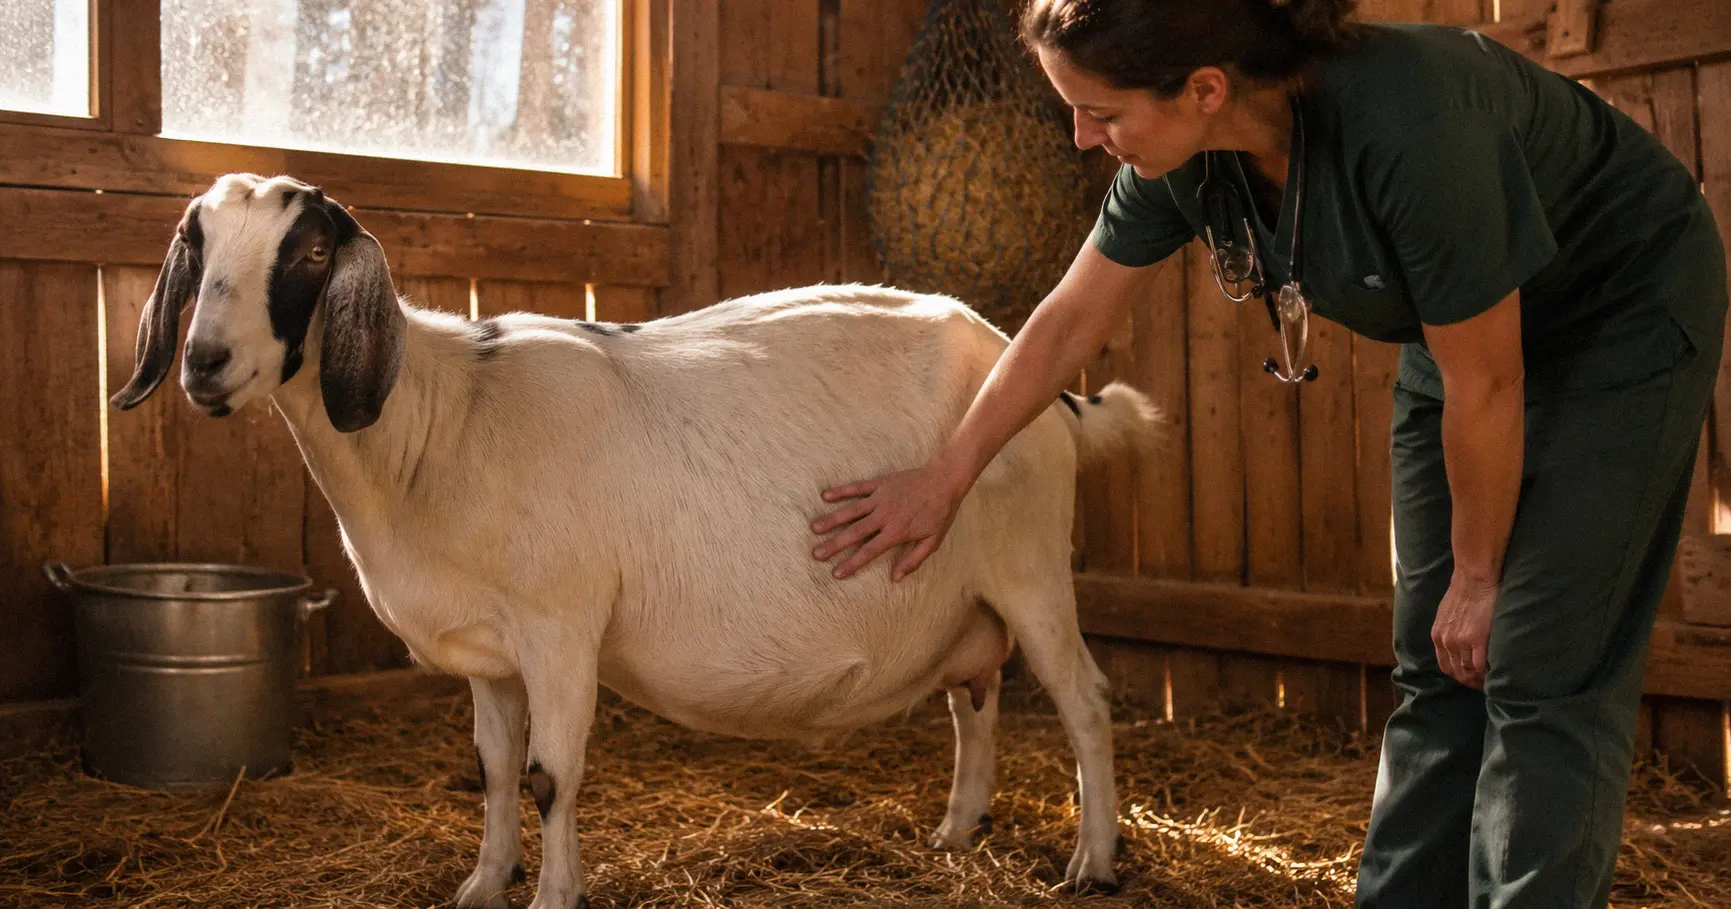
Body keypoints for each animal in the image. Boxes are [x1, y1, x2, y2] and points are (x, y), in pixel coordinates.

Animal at [113, 173, 1158, 909]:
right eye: (197, 242)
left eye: (312, 250)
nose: (204, 363)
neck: (440, 421)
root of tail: (1030, 370)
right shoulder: (491, 650)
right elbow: (494, 769)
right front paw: (483, 883)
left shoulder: (561, 626)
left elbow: (550, 774)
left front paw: (554, 892)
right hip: (959, 588)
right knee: (974, 697)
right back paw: (955, 830)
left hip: (1030, 565)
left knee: (1084, 700)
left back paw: (1092, 860)